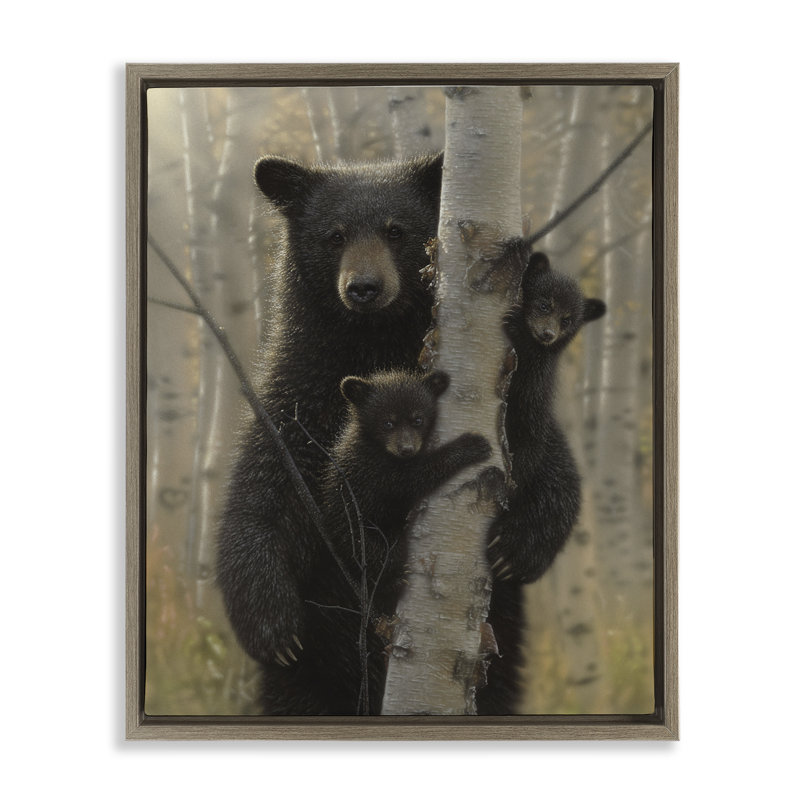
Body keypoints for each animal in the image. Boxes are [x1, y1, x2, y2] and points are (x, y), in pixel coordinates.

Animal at [215, 153, 444, 714]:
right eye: (333, 235)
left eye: (396, 230)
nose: (363, 287)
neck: (369, 346)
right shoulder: (297, 404)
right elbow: (261, 496)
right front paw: (273, 627)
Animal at [255, 368, 492, 715]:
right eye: (388, 422)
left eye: (418, 419)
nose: (406, 448)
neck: (376, 447)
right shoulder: (372, 472)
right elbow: (412, 478)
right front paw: (471, 445)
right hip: (358, 539)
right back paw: (395, 578)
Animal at [476, 250, 606, 715]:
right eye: (544, 303)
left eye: (569, 319)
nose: (548, 333)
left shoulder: (532, 401)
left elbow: (524, 435)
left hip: (559, 491)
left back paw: (509, 553)